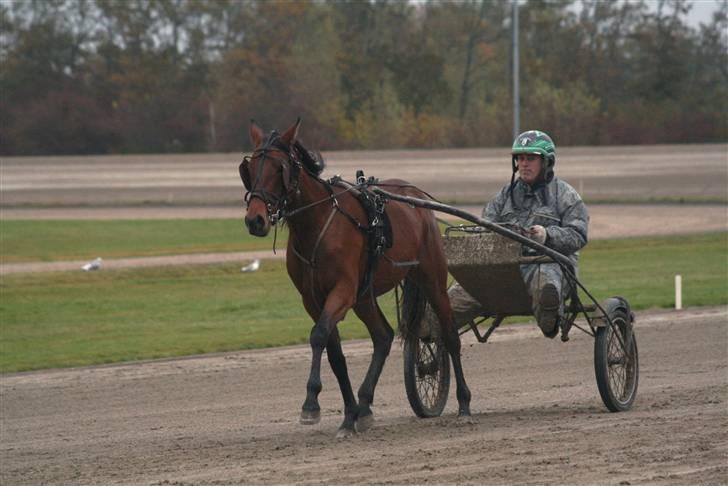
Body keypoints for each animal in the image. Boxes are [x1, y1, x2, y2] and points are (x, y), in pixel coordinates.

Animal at [239, 118, 472, 436]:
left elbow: (318, 336)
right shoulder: (313, 299)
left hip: (431, 277)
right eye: (249, 170)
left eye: (279, 168)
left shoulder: (343, 290)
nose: (256, 220)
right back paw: (364, 404)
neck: (317, 225)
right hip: (365, 296)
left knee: (449, 336)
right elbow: (334, 353)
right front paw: (349, 415)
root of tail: (417, 196)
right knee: (383, 336)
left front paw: (310, 403)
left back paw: (464, 404)